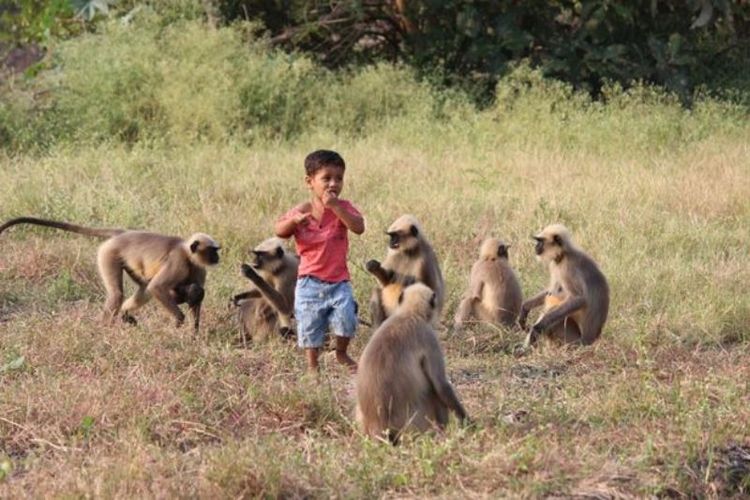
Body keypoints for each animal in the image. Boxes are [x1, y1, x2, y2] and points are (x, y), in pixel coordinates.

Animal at [1, 216, 220, 330]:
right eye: (212, 250)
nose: (218, 257)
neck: (186, 252)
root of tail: (123, 234)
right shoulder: (178, 262)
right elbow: (157, 287)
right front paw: (179, 320)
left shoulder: (198, 266)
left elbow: (195, 293)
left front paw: (195, 332)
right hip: (108, 253)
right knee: (120, 293)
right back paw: (105, 329)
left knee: (144, 288)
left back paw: (125, 314)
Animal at [356, 284, 470, 444]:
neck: (409, 312)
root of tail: (377, 425)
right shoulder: (429, 337)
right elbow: (441, 385)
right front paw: (468, 422)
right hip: (415, 422)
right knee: (433, 391)